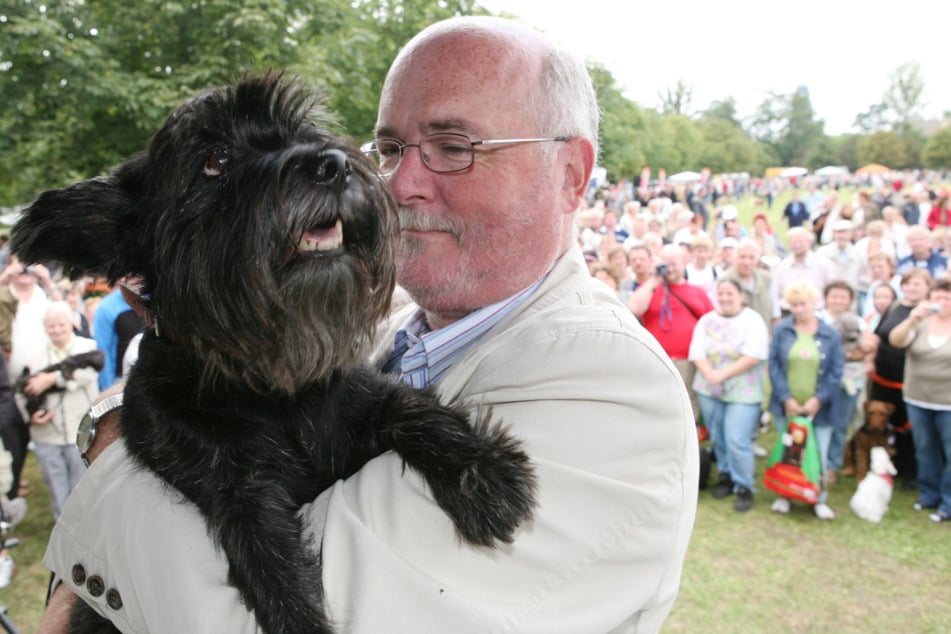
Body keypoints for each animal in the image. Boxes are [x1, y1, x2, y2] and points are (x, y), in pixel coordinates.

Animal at [14, 71, 540, 628]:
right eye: (217, 159)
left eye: (301, 132)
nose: (331, 165)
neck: (266, 383)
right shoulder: (238, 494)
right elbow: (276, 577)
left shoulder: (358, 404)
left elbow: (410, 405)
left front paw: (484, 473)